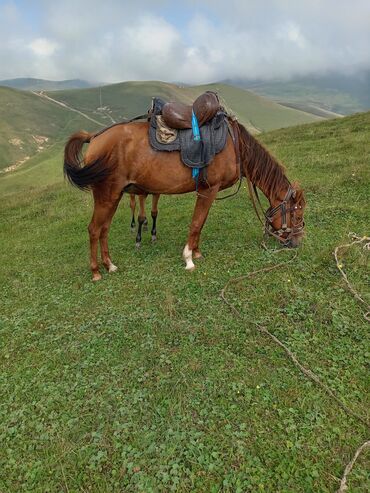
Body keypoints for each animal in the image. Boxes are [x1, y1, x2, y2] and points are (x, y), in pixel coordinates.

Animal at [64, 118, 306, 280]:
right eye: (297, 213)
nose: (297, 243)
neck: (235, 146)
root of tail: (95, 138)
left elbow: (200, 223)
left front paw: (196, 252)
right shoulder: (209, 189)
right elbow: (197, 222)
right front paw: (189, 257)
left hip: (113, 197)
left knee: (104, 230)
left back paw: (109, 265)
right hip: (107, 195)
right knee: (94, 229)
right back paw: (96, 271)